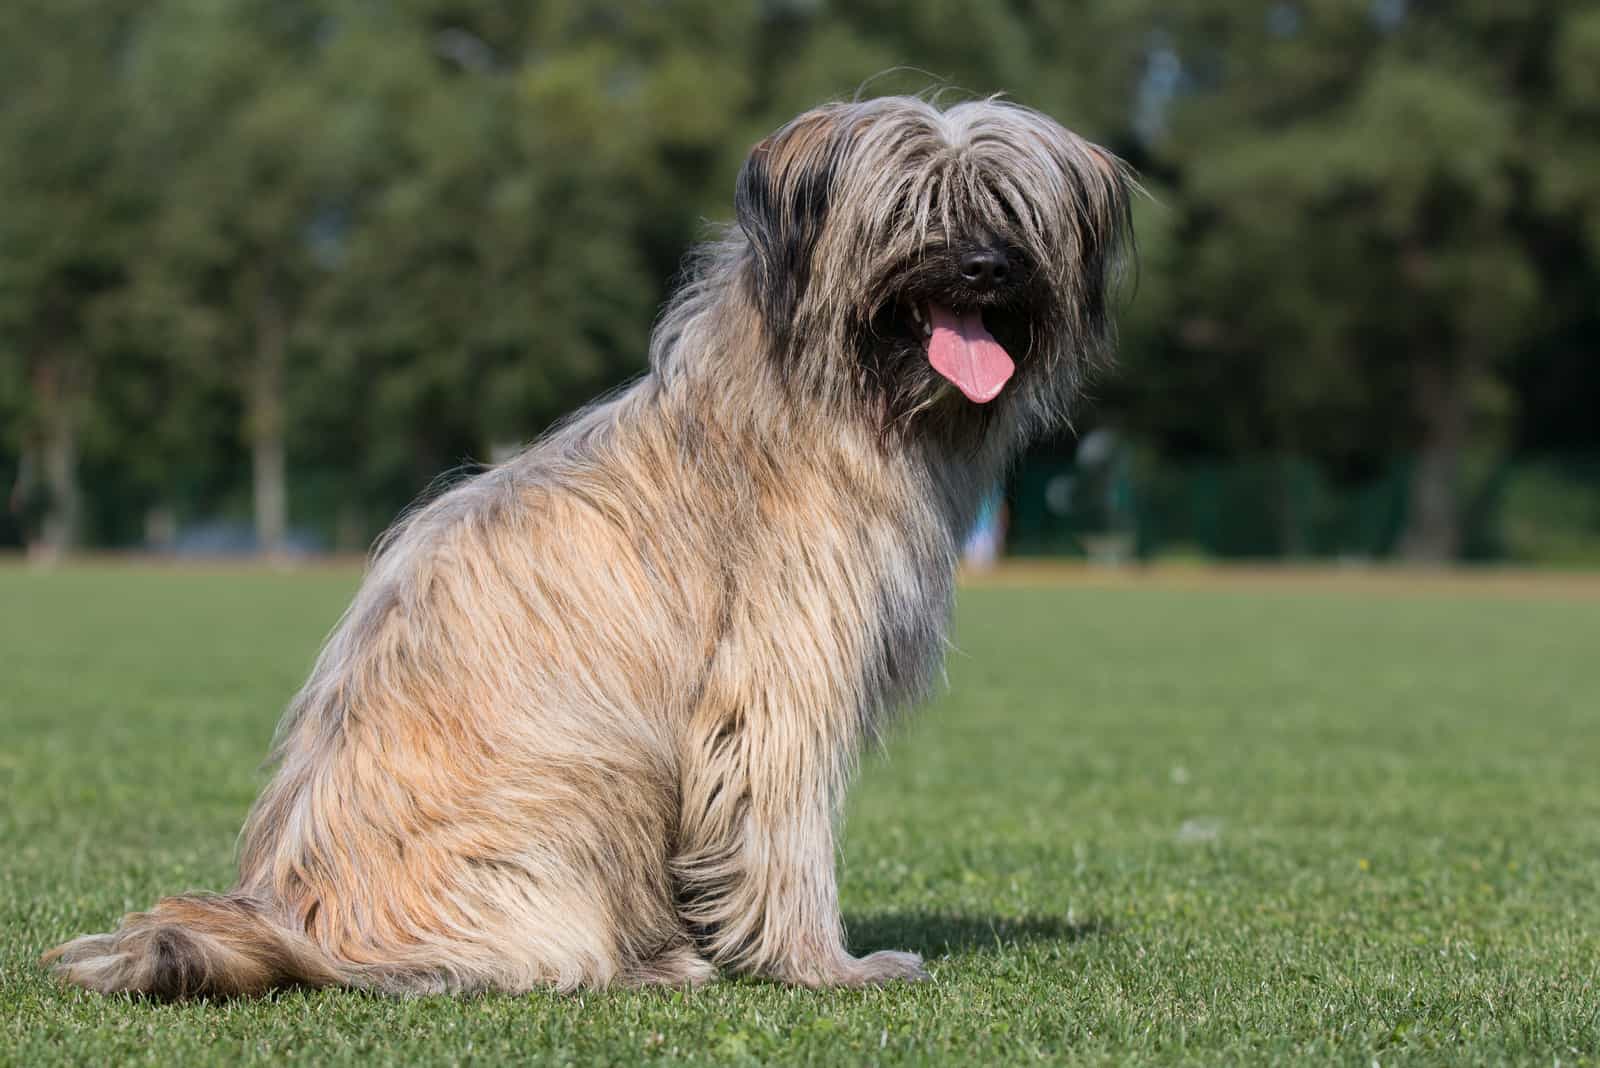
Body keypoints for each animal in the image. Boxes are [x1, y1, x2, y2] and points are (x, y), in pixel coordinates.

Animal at [43, 95, 1132, 997]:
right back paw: (650, 963)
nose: (984, 268)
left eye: (1005, 206)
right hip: (594, 774)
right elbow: (783, 832)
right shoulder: (774, 686)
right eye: (912, 207)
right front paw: (826, 965)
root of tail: (293, 919)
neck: (825, 398)